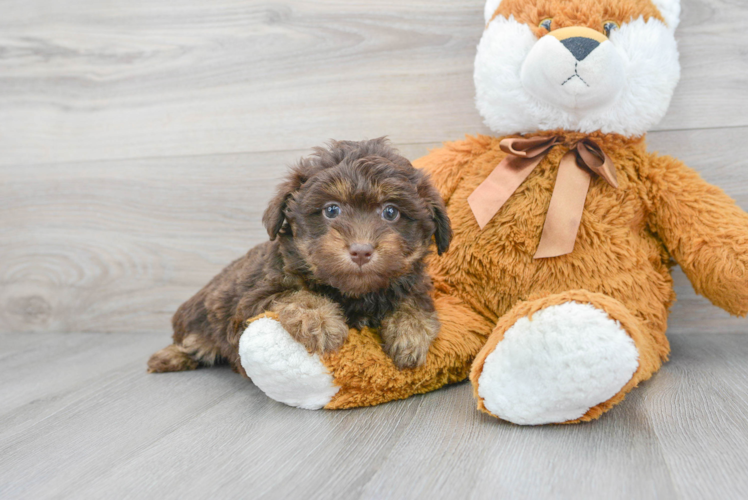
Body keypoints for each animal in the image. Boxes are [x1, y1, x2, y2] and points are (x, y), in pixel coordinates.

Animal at [146, 138, 450, 376]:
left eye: (390, 212)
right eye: (331, 210)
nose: (361, 250)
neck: (353, 294)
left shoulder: (412, 282)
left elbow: (413, 300)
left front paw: (410, 334)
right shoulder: (251, 304)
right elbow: (297, 294)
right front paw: (321, 321)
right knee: (191, 341)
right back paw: (170, 356)